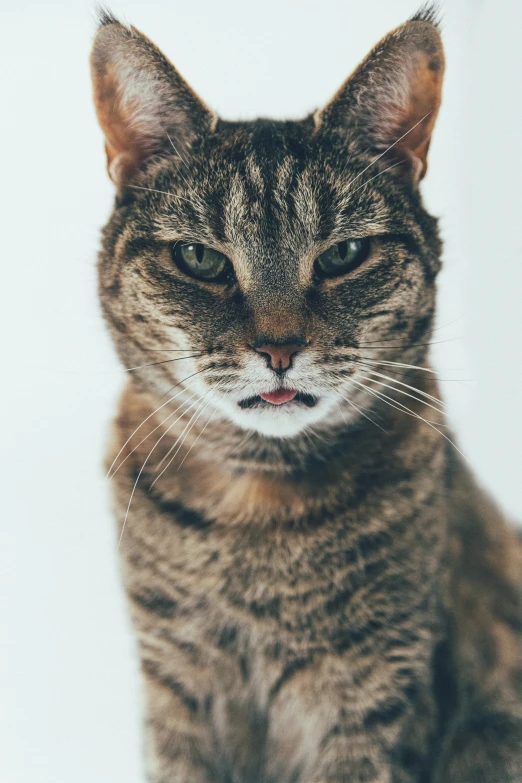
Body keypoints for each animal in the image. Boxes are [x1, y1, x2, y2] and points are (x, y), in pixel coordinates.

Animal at [90, 6, 520, 783]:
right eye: (201, 259)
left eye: (344, 254)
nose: (280, 349)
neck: (255, 510)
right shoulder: (175, 691)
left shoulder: (372, 699)